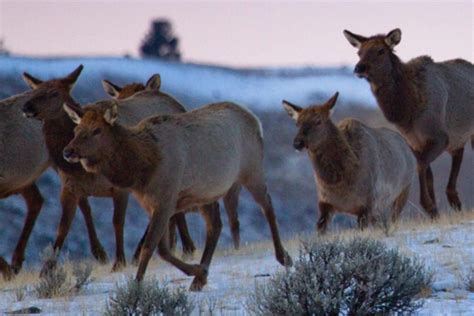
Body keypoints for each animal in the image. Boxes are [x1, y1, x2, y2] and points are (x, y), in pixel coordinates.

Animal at [63, 100, 292, 290]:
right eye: (76, 129)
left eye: (96, 130)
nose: (68, 151)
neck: (142, 168)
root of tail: (254, 119)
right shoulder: (154, 203)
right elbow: (162, 248)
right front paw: (199, 271)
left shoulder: (166, 198)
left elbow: (150, 246)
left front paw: (136, 285)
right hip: (206, 192)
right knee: (215, 226)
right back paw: (199, 280)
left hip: (252, 169)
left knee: (267, 205)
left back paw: (284, 257)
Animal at [282, 92, 414, 231]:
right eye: (297, 123)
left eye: (318, 121)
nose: (297, 143)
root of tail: (408, 148)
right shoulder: (325, 203)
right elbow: (320, 228)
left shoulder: (367, 203)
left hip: (403, 191)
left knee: (393, 218)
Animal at [344, 28, 474, 217]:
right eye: (359, 52)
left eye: (381, 51)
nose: (359, 68)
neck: (407, 112)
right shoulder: (415, 142)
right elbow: (427, 173)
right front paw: (433, 211)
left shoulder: (440, 137)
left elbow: (419, 165)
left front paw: (427, 205)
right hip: (458, 139)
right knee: (458, 155)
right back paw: (454, 201)